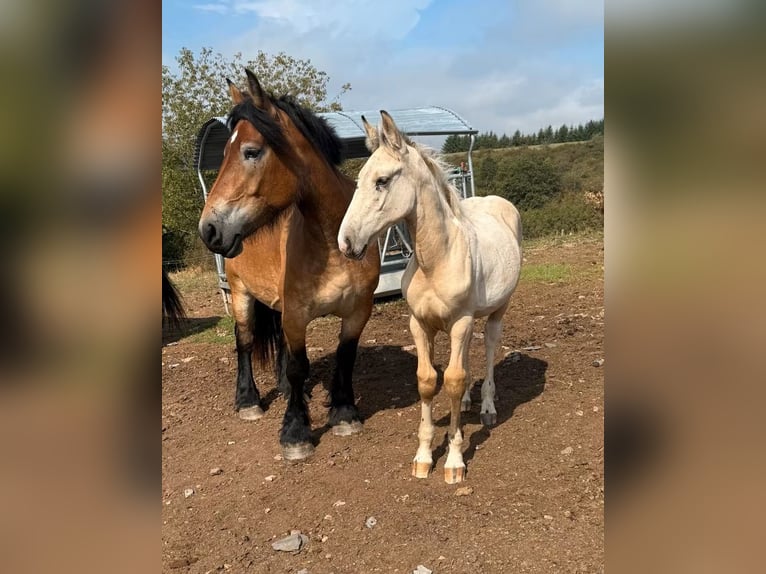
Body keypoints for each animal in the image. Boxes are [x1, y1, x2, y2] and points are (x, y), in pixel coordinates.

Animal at [198, 70, 381, 461]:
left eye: (251, 151)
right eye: (223, 153)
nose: (209, 229)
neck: (332, 243)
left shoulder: (358, 310)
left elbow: (345, 357)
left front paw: (344, 413)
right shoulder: (296, 313)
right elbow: (299, 366)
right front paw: (296, 432)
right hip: (241, 295)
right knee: (244, 341)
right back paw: (248, 401)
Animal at [337, 111, 522, 483]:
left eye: (382, 181)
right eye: (358, 181)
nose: (346, 242)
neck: (437, 258)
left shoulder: (461, 321)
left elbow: (451, 381)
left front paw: (454, 461)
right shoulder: (420, 324)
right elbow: (428, 381)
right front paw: (423, 457)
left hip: (496, 310)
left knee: (489, 347)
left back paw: (487, 407)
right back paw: (466, 402)